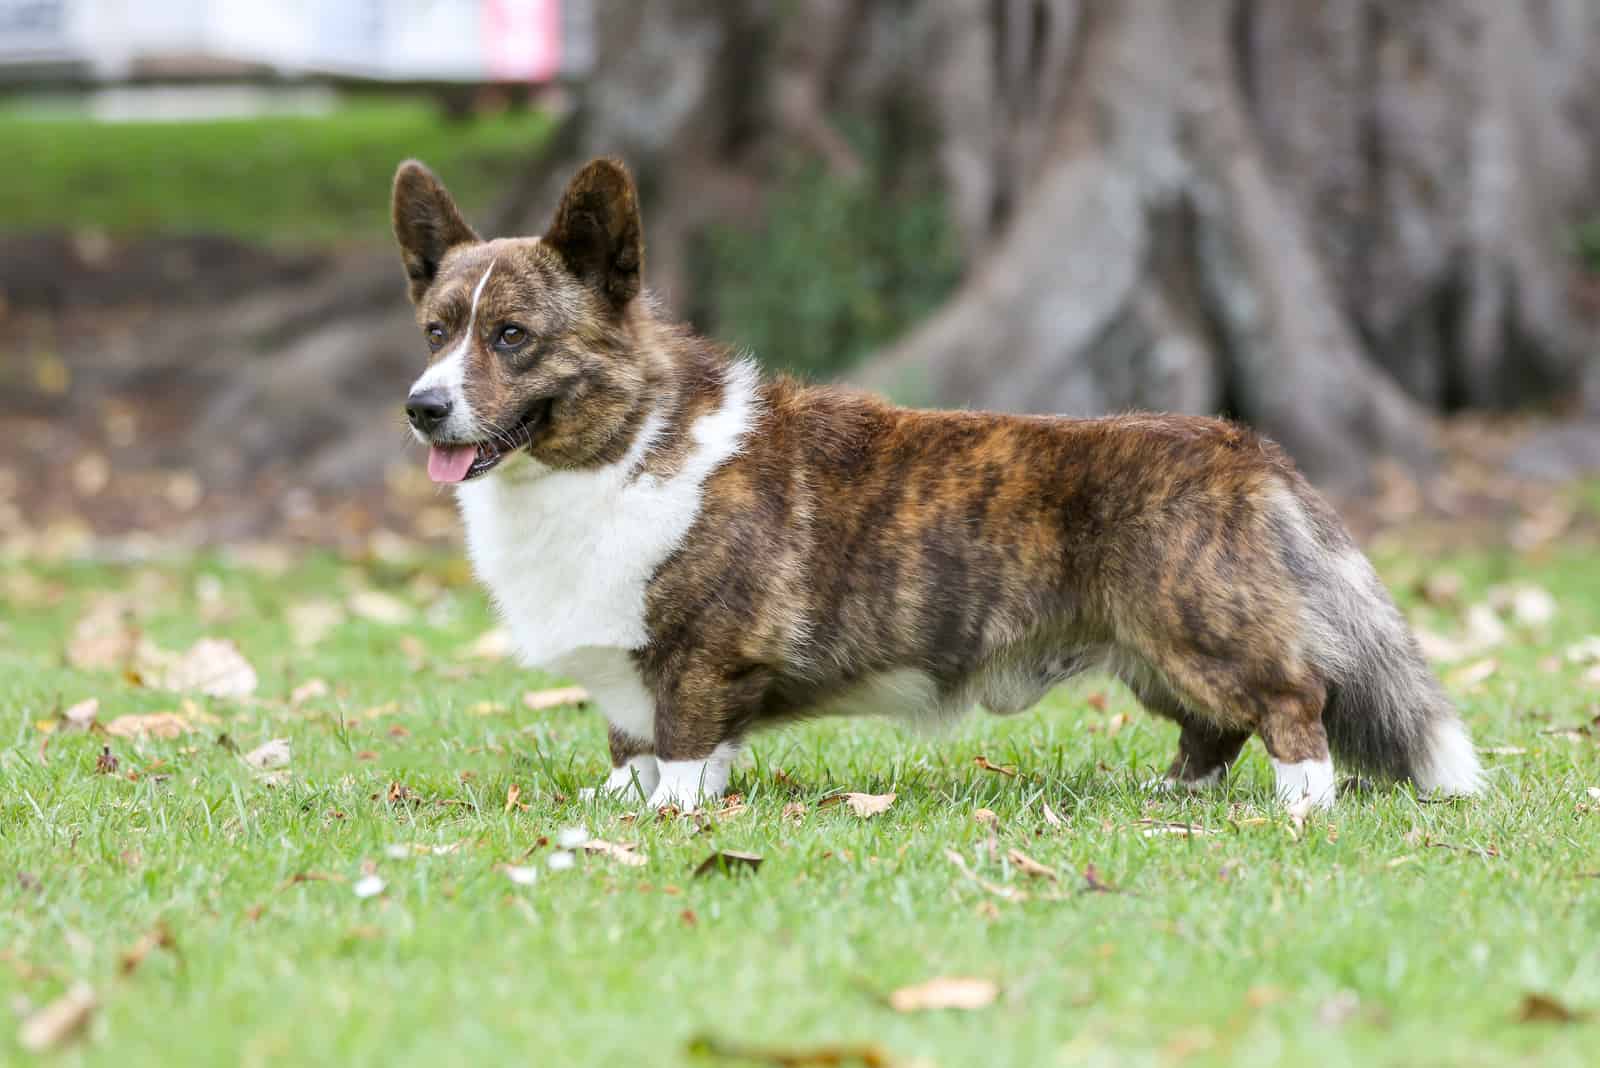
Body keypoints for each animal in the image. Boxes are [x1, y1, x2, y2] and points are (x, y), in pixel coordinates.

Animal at [390, 156, 1484, 808]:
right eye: (436, 332)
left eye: (513, 338)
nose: (422, 406)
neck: (617, 451)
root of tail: (1247, 449)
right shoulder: (627, 681)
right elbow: (631, 747)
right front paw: (619, 811)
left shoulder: (701, 661)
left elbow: (688, 750)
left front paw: (672, 818)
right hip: (1153, 655)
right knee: (1213, 731)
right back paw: (1174, 800)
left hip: (1203, 633)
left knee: (1295, 703)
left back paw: (1302, 806)